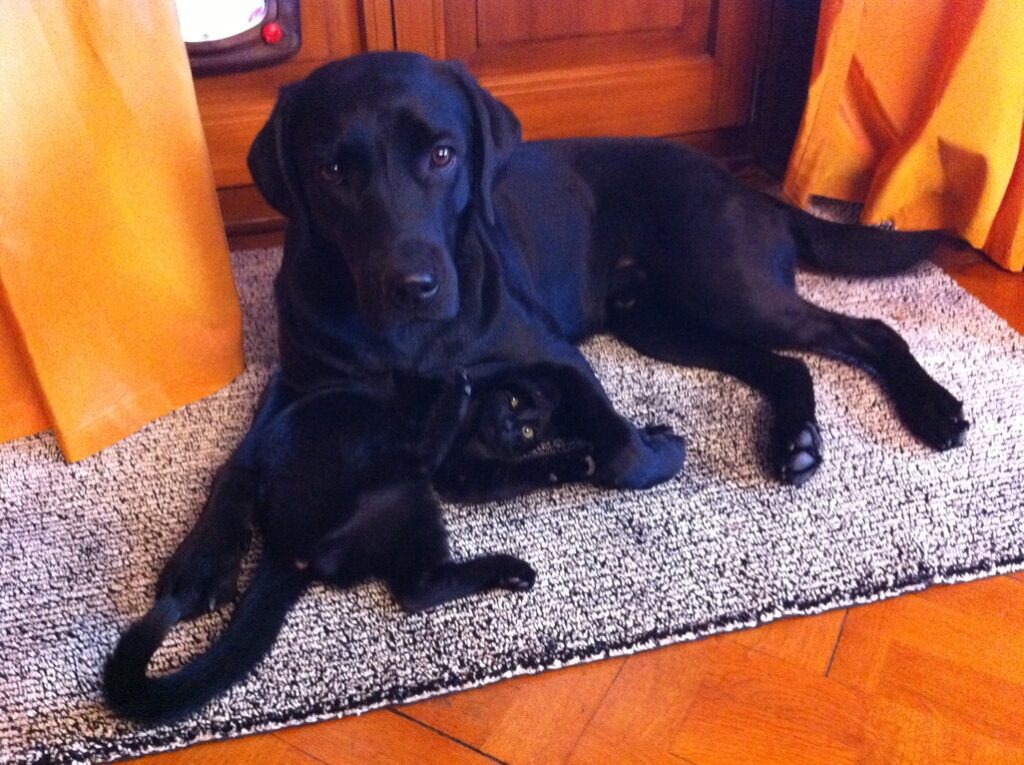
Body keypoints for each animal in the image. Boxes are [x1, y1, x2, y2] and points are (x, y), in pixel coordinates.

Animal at [155, 51, 967, 621]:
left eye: (443, 154)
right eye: (329, 170)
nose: (412, 285)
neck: (406, 341)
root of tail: (743, 183)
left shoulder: (553, 355)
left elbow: (619, 452)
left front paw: (650, 450)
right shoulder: (299, 384)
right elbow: (237, 462)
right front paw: (201, 559)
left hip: (729, 288)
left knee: (866, 330)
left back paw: (933, 411)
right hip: (664, 324)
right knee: (783, 367)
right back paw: (794, 440)